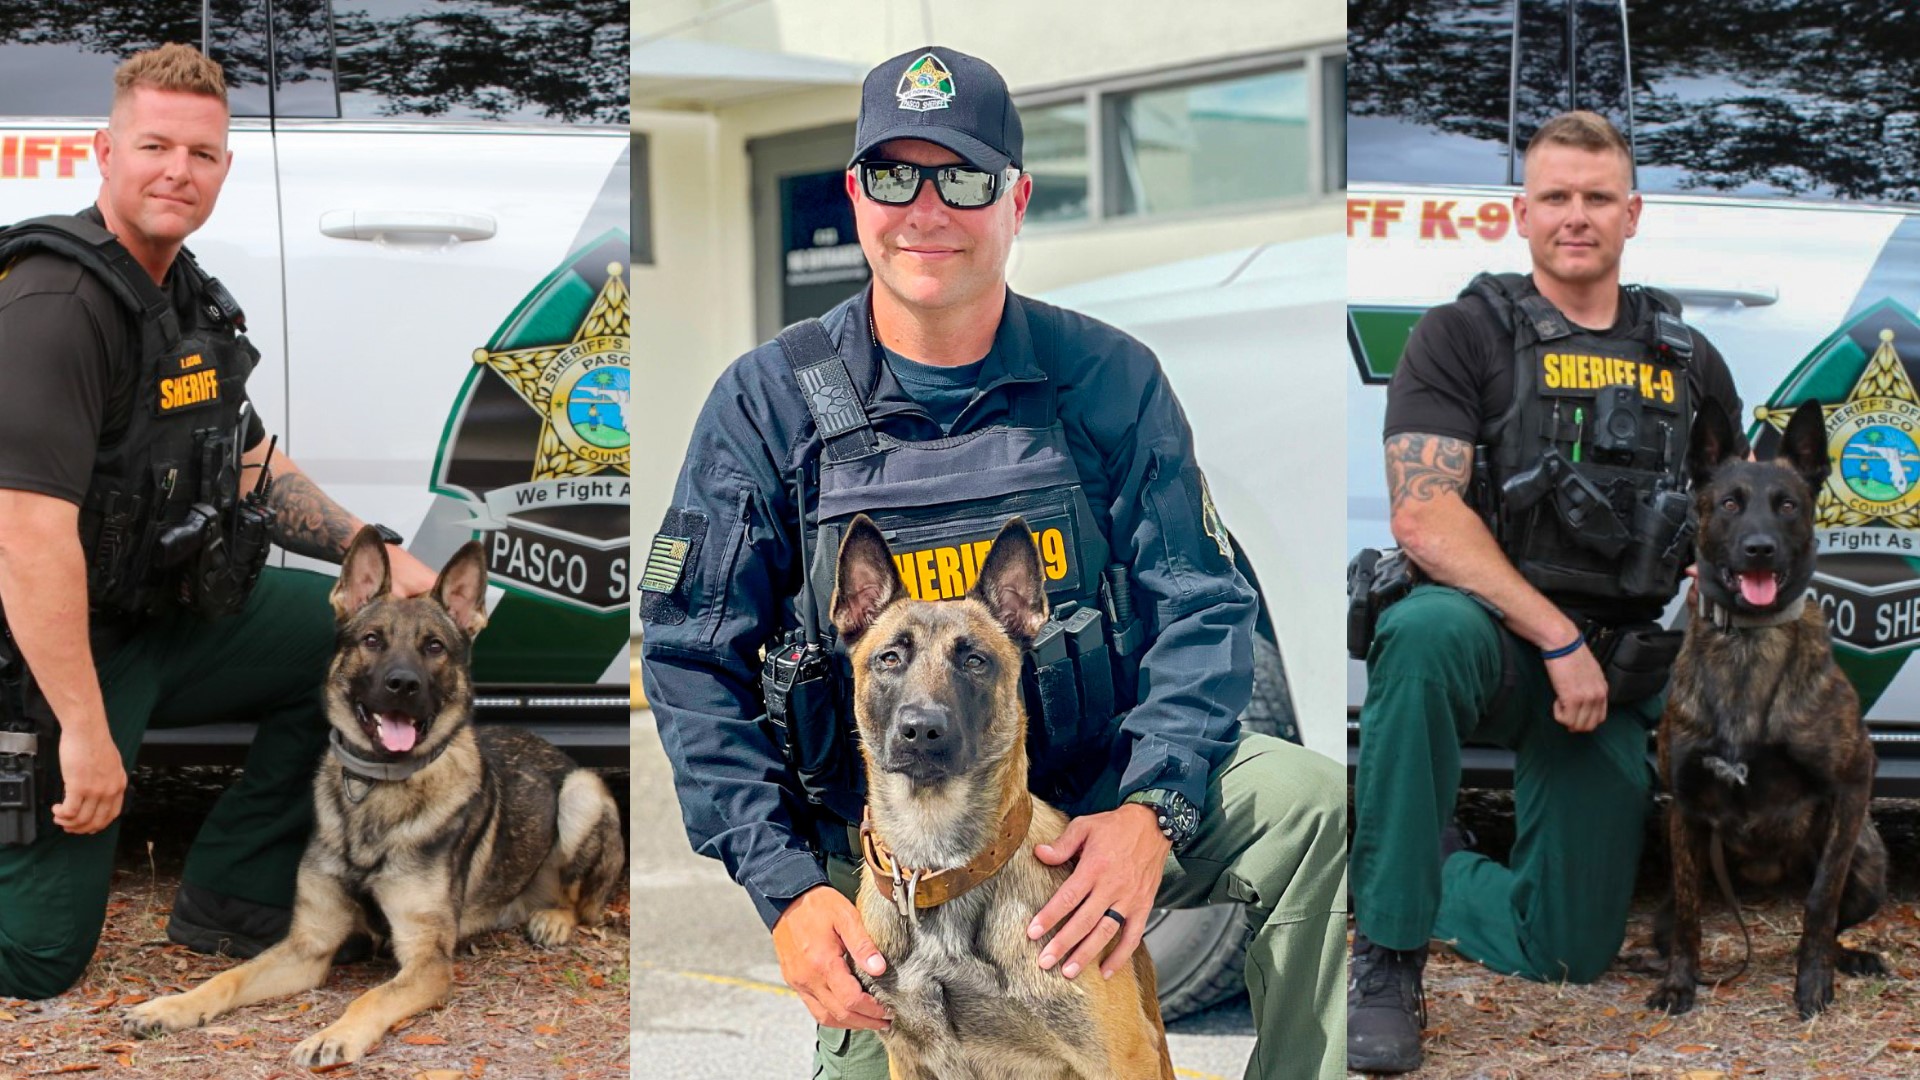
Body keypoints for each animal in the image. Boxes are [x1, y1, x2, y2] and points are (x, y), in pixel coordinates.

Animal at [127, 526, 622, 1060]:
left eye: (434, 647)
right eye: (371, 640)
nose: (402, 684)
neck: (375, 788)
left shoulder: (427, 961)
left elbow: (371, 997)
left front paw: (333, 1035)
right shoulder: (308, 945)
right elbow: (229, 977)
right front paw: (170, 1006)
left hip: (581, 792)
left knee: (582, 902)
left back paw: (554, 919)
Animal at [825, 511, 1167, 1076]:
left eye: (975, 661)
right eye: (890, 658)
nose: (921, 730)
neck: (937, 866)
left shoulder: (1120, 1056)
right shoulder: (906, 1057)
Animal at [1651, 397, 1889, 1014]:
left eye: (1787, 505)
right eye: (1730, 504)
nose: (1759, 548)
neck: (1749, 646)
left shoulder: (1853, 783)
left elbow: (1820, 903)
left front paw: (1813, 984)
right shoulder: (1684, 807)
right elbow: (1689, 917)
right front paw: (1679, 984)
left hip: (1869, 860)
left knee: (1833, 917)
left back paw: (1850, 958)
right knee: (1672, 919)